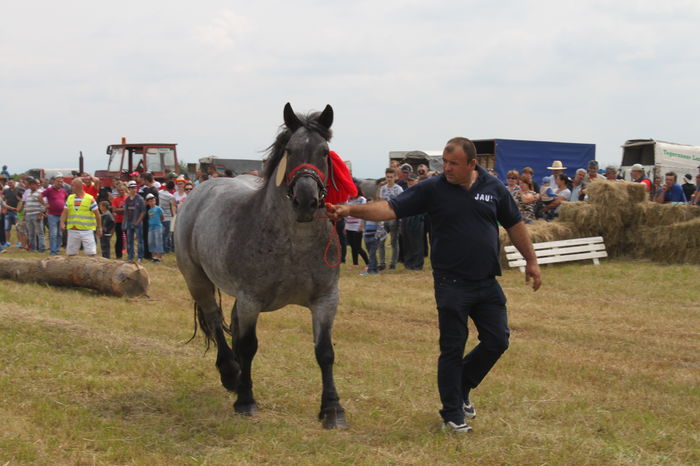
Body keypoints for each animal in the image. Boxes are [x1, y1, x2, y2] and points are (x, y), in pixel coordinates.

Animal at [174, 103, 346, 429]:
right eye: (290, 150)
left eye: (324, 152)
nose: (306, 200)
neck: (294, 244)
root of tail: (201, 187)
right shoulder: (251, 300)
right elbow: (248, 345)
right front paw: (245, 399)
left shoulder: (326, 299)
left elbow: (325, 352)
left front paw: (332, 409)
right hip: (196, 279)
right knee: (215, 320)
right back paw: (231, 373)